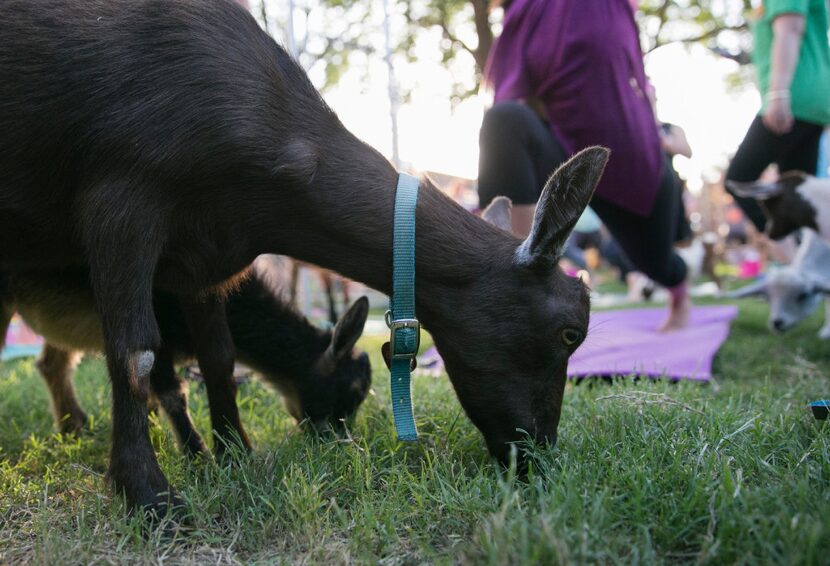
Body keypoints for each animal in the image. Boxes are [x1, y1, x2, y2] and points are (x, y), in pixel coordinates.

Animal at [0, 0, 608, 520]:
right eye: (570, 332)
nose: (536, 457)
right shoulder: (120, 202)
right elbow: (136, 354)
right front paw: (149, 496)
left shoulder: (203, 260)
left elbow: (219, 356)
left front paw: (235, 455)